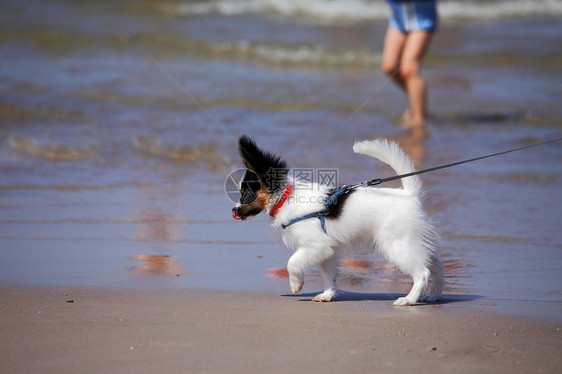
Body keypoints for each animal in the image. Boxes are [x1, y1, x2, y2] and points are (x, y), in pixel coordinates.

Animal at [230, 136, 440, 306]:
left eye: (246, 194)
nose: (233, 211)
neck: (287, 197)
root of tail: (408, 194)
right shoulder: (327, 251)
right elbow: (328, 275)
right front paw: (327, 295)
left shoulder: (316, 246)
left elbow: (292, 262)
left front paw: (296, 284)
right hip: (413, 242)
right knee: (436, 266)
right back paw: (433, 296)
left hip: (396, 245)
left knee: (423, 273)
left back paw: (409, 300)